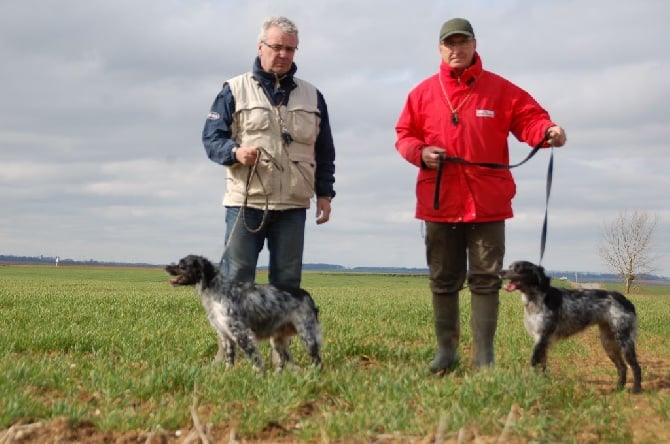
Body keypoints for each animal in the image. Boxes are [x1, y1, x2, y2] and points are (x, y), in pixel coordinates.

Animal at [502, 260, 644, 392]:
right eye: (509, 266)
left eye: (518, 268)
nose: (500, 272)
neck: (536, 298)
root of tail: (626, 301)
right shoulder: (543, 342)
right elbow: (542, 365)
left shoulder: (541, 338)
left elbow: (533, 363)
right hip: (608, 342)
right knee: (622, 366)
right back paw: (619, 387)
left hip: (625, 341)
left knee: (636, 367)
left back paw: (636, 389)